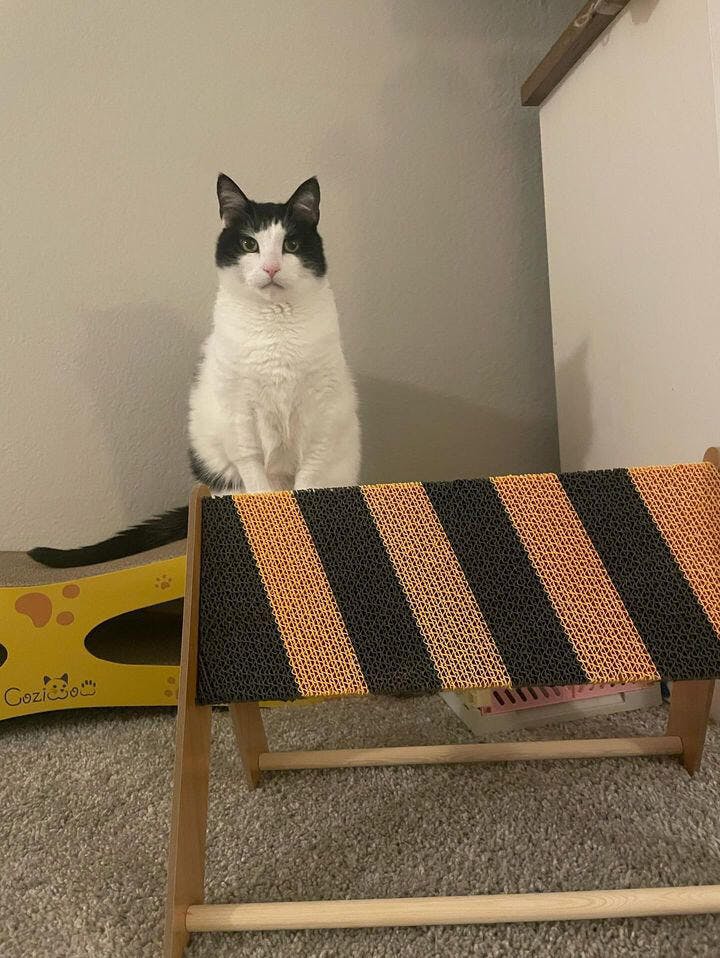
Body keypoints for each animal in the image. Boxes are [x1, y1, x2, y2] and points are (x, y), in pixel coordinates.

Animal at [29, 175, 360, 568]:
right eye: (249, 244)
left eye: (291, 244)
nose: (271, 267)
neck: (274, 327)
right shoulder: (238, 410)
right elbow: (252, 467)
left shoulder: (320, 412)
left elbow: (310, 475)